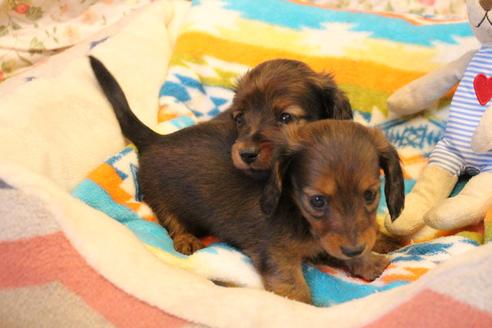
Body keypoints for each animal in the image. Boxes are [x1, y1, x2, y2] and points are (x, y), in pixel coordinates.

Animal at [90, 56, 354, 254]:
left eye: (286, 117)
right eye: (240, 118)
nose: (245, 154)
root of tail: (158, 139)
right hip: (161, 195)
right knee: (170, 218)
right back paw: (186, 239)